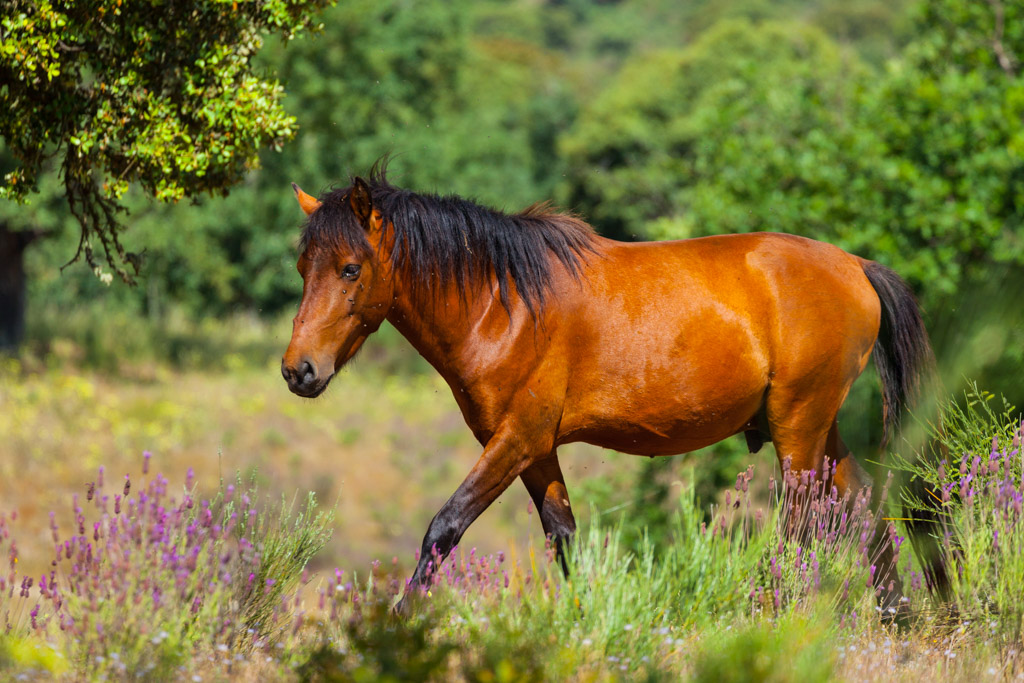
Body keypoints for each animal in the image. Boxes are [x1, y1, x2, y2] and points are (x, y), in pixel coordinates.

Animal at [281, 164, 933, 612]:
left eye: (351, 269)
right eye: (303, 268)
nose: (298, 370)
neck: (502, 305)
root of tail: (854, 266)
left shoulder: (516, 440)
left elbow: (444, 528)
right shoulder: (535, 450)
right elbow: (565, 539)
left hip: (797, 426)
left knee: (804, 521)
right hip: (817, 428)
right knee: (863, 507)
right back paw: (892, 614)